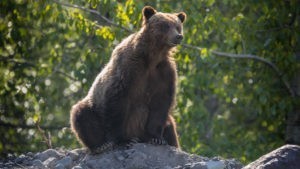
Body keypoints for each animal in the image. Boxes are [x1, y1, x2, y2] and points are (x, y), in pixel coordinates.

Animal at [70, 5, 186, 153]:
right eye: (165, 25)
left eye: (177, 26)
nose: (178, 36)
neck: (152, 56)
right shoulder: (129, 68)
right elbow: (118, 100)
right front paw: (124, 140)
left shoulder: (164, 73)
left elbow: (160, 104)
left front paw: (156, 138)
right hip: (94, 107)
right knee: (82, 115)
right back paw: (102, 145)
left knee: (171, 127)